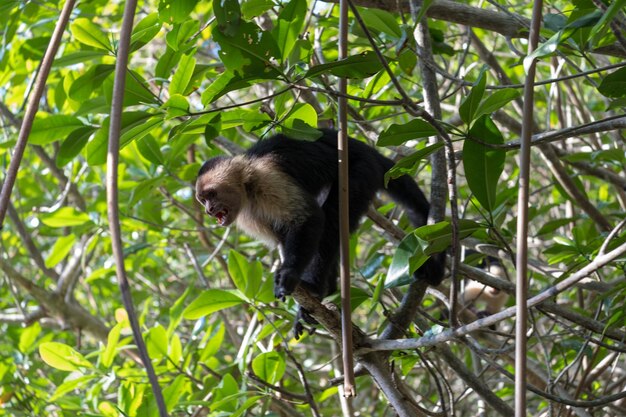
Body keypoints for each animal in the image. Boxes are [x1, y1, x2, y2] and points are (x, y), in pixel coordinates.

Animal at [195, 128, 444, 336]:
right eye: (202, 199)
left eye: (212, 194)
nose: (208, 210)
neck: (247, 184)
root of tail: (364, 148)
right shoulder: (250, 216)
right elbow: (285, 237)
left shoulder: (267, 178)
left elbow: (309, 219)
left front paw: (289, 273)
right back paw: (324, 298)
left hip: (360, 170)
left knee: (332, 220)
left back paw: (314, 290)